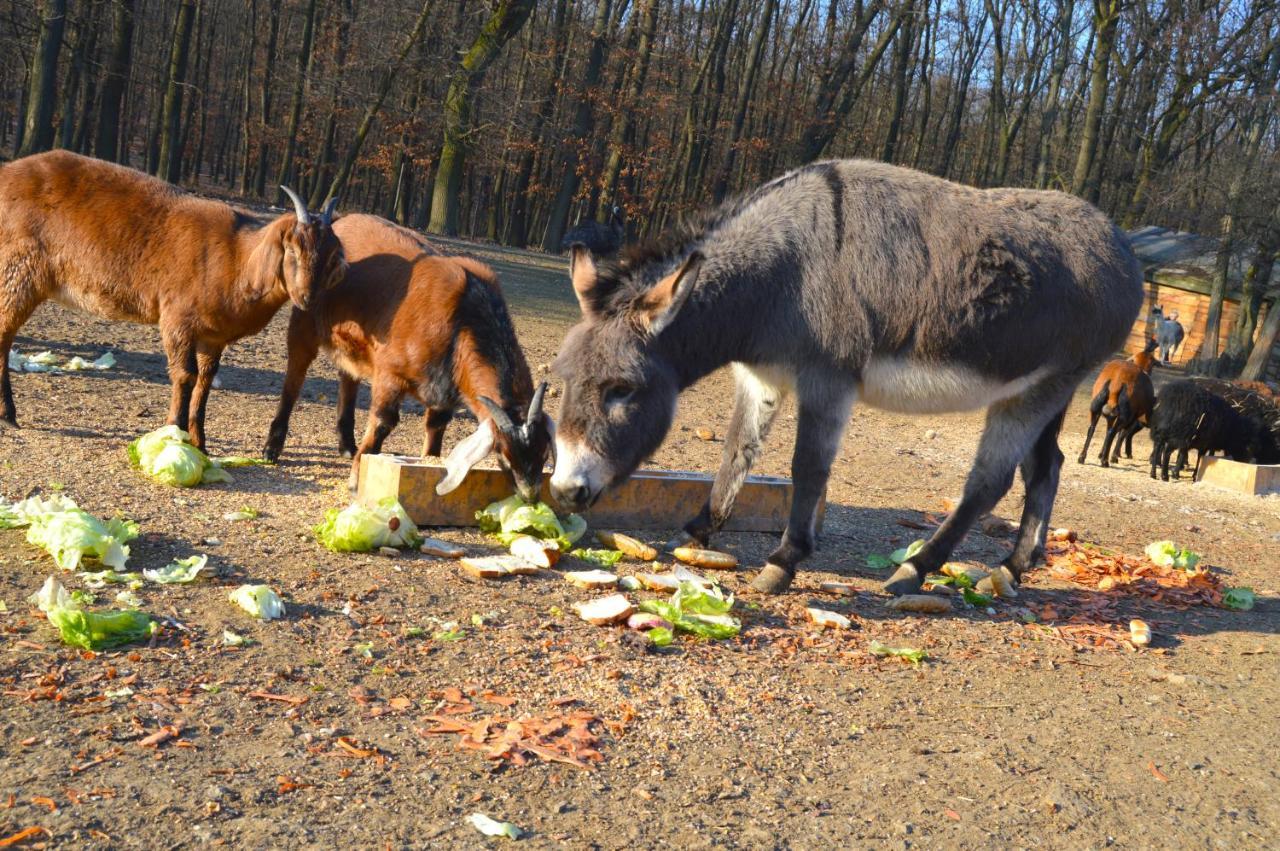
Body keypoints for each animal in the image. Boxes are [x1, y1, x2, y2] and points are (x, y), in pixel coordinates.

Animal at [0, 150, 348, 447]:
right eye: (292, 250)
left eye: (332, 255)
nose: (307, 297)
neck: (237, 257)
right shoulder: (178, 319)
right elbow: (185, 375)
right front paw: (174, 432)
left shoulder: (214, 335)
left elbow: (206, 379)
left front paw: (200, 442)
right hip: (20, 270)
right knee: (5, 334)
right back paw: (9, 413)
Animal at [262, 212, 552, 501]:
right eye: (503, 452)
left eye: (545, 452)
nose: (530, 495)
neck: (461, 321)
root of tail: (339, 220)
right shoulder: (390, 373)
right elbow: (383, 422)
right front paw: (356, 480)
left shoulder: (445, 391)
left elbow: (436, 426)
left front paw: (430, 460)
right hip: (304, 317)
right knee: (294, 377)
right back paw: (273, 447)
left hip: (351, 345)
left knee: (348, 378)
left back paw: (346, 445)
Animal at [1080, 337, 1162, 465]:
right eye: (1153, 362)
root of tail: (1116, 383)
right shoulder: (1133, 417)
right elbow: (1122, 434)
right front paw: (1112, 456)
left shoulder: (1112, 415)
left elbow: (1108, 431)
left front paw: (1101, 453)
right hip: (1125, 414)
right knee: (1115, 432)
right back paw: (1106, 461)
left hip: (1097, 406)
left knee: (1092, 429)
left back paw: (1082, 457)